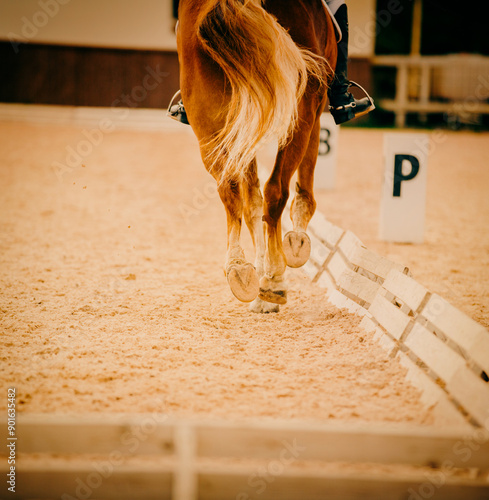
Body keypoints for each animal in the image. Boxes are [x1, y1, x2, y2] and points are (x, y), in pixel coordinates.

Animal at [177, 0, 338, 312]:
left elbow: (251, 201)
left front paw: (259, 271)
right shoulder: (315, 107)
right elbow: (303, 180)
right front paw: (296, 242)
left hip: (209, 121)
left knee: (229, 190)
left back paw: (239, 269)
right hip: (301, 106)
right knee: (276, 190)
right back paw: (274, 281)